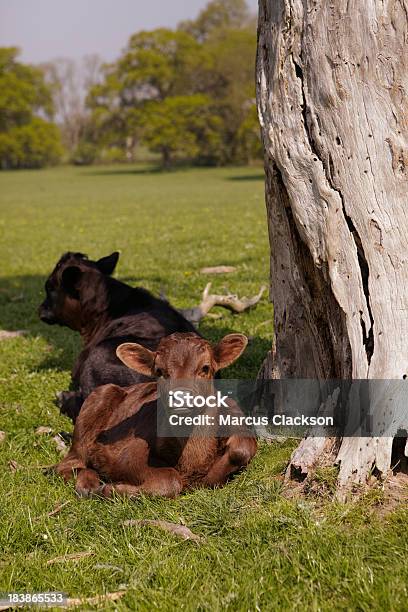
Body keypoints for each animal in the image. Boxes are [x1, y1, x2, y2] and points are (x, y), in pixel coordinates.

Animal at [55, 334, 256, 498]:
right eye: (159, 371)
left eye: (205, 368)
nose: (181, 397)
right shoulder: (128, 455)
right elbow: (171, 479)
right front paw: (112, 489)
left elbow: (242, 449)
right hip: (99, 397)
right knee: (69, 464)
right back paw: (88, 484)